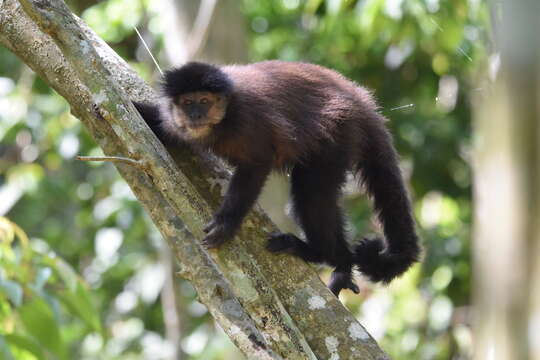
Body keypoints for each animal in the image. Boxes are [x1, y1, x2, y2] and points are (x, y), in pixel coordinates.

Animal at [133, 60, 420, 296]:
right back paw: (341, 262)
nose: (195, 115)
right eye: (187, 103)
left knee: (311, 194)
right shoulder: (176, 122)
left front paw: (226, 223)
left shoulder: (246, 121)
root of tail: (363, 102)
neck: (224, 117)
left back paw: (326, 255)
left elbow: (257, 163)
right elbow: (162, 130)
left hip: (340, 132)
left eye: (204, 101)